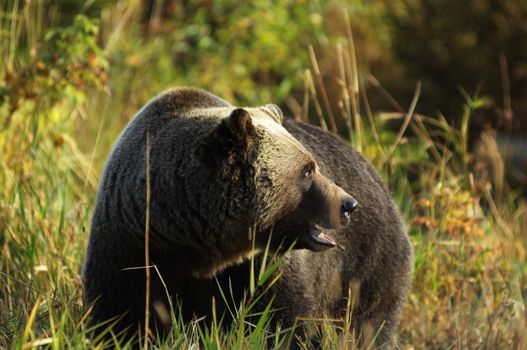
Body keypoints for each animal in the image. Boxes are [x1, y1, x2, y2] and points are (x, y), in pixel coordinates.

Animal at [83, 87, 412, 348]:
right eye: (307, 170)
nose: (348, 204)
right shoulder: (136, 245)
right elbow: (122, 316)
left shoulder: (263, 265)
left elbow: (281, 321)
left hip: (366, 266)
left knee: (365, 325)